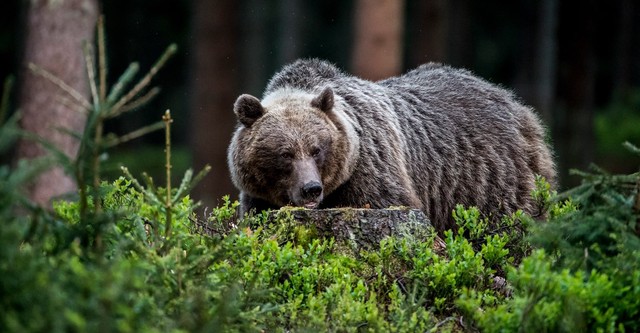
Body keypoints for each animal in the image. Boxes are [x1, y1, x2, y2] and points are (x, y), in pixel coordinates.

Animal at [229, 58, 556, 232]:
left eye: (317, 149)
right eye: (285, 153)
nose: (311, 189)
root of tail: (513, 100)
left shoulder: (371, 169)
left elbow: (388, 199)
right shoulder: (259, 197)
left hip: (488, 177)